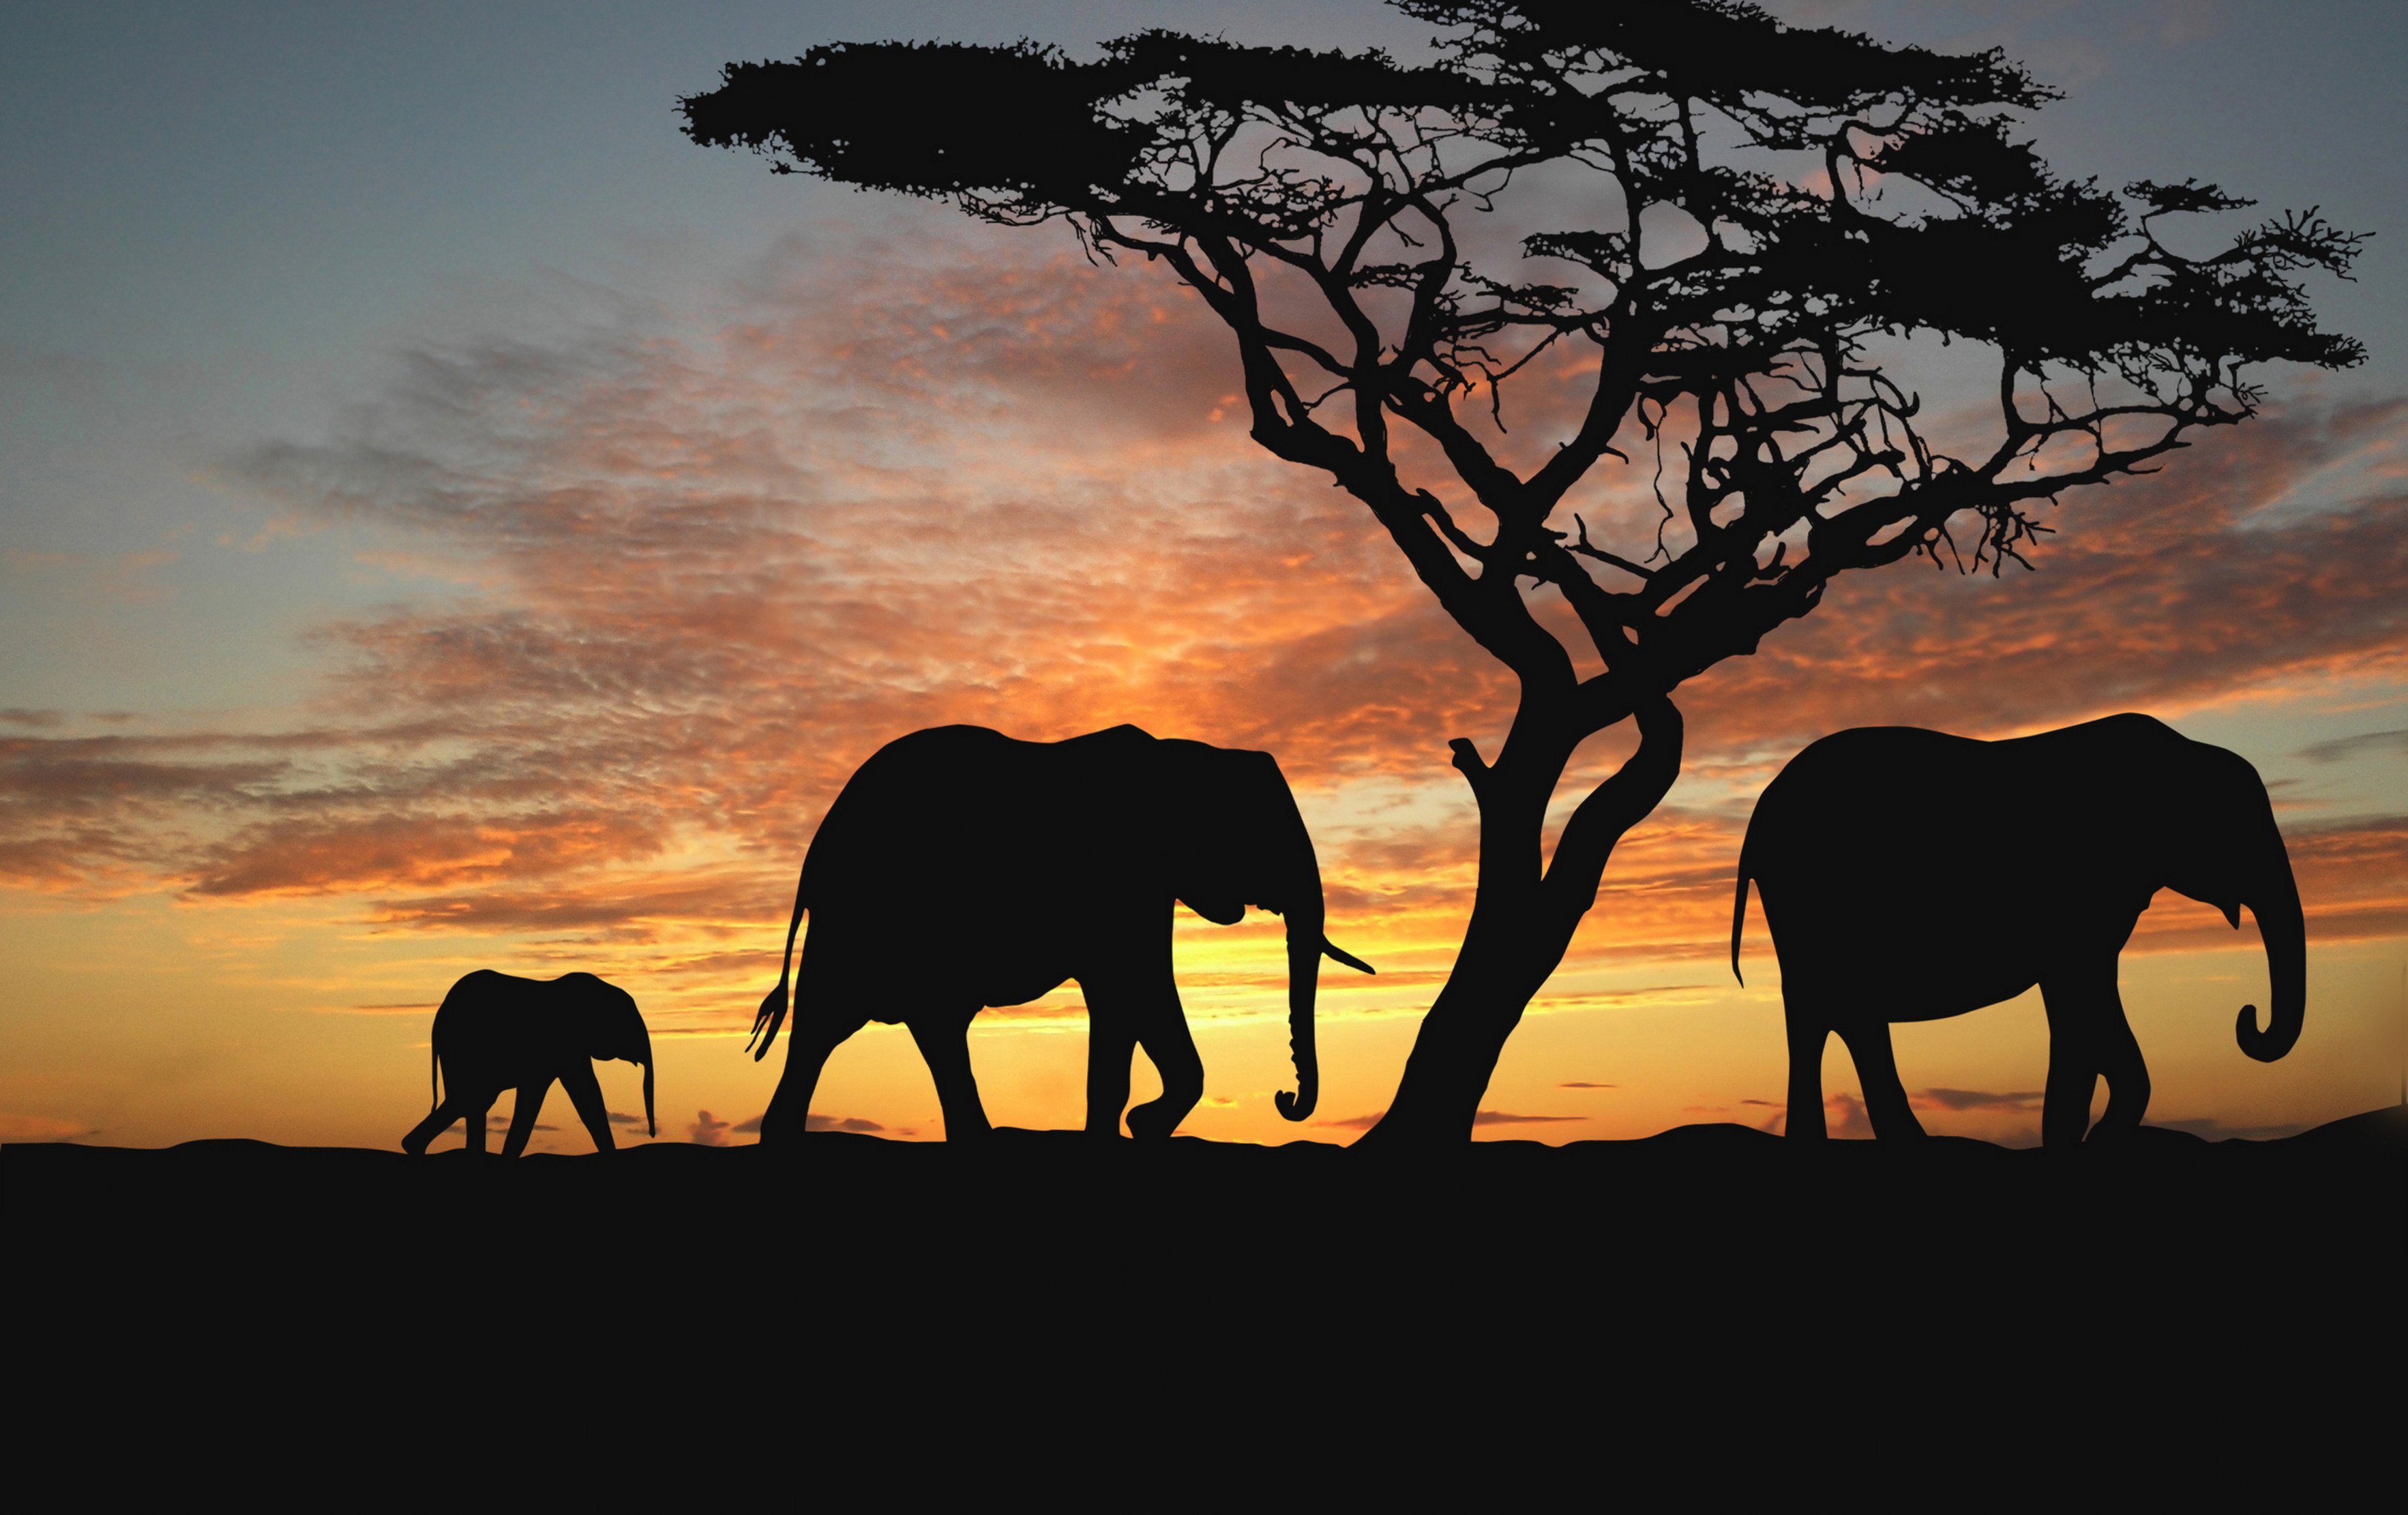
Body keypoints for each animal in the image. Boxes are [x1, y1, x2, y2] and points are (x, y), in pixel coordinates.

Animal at [400, 970, 656, 1157]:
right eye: (629, 1023)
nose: (652, 1135)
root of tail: (438, 1016)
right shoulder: (565, 1046)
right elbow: (584, 1094)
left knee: (472, 1102)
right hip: (463, 1050)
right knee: (470, 1100)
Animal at [747, 723, 1373, 1143]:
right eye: (1265, 837)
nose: (1285, 1097)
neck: (1185, 755)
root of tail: (815, 851)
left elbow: (1131, 999)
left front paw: (1135, 1127)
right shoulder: (1124, 879)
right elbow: (1135, 987)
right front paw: (1137, 1125)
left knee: (904, 1027)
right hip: (863, 916)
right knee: (837, 1024)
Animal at [1730, 714, 2304, 1146]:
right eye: (2239, 830)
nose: (2247, 1018)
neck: (2180, 751)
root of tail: (1758, 816)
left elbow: (2085, 1006)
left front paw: (2085, 1135)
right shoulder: (2079, 898)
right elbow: (2081, 999)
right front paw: (2083, 1137)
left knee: (1840, 1014)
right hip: (1809, 902)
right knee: (1824, 1011)